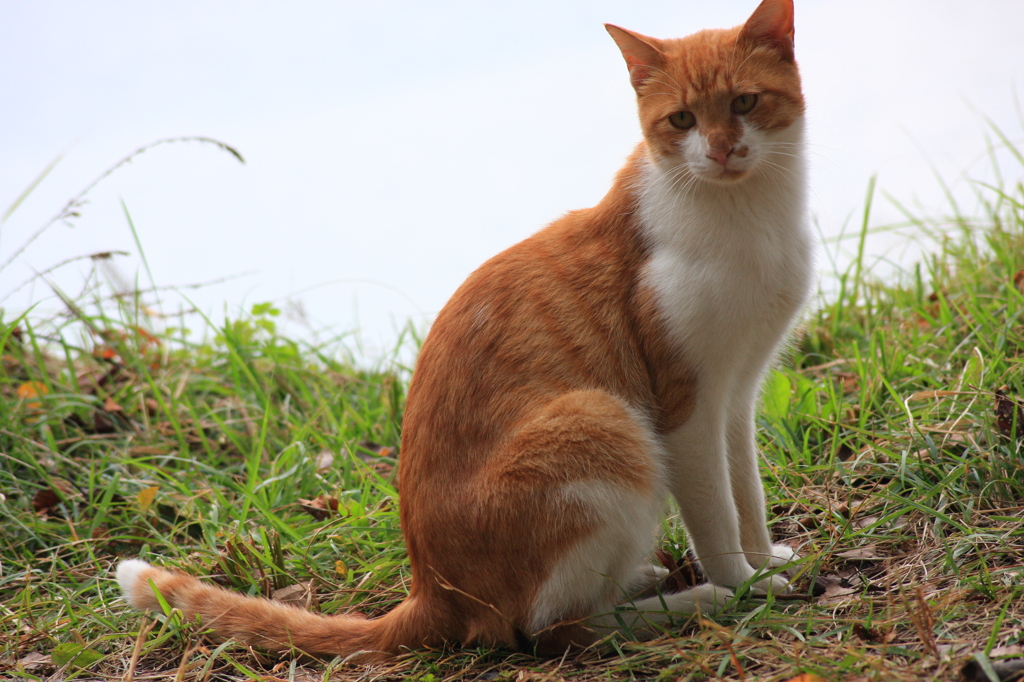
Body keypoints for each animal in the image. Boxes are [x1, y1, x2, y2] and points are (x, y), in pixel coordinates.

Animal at [116, 0, 811, 659]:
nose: (721, 149)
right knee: (554, 629)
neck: (748, 215)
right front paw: (743, 582)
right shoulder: (688, 408)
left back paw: (644, 579)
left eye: (744, 102)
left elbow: (746, 493)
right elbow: (716, 515)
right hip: (602, 421)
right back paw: (700, 602)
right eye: (682, 121)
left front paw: (763, 558)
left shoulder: (737, 395)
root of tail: (432, 592)